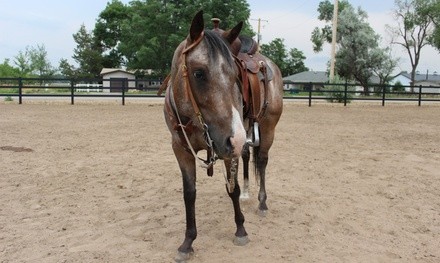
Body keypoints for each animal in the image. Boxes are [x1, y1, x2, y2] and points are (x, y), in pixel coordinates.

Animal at [160, 9, 284, 262]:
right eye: (198, 73)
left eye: (236, 75)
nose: (234, 139)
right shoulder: (181, 149)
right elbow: (189, 194)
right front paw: (187, 242)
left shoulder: (229, 146)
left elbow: (231, 189)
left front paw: (241, 230)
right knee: (247, 155)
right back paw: (247, 193)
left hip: (266, 129)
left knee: (262, 161)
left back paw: (262, 203)